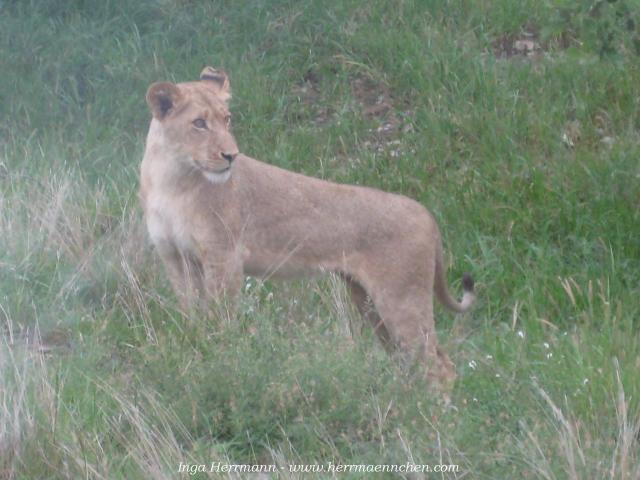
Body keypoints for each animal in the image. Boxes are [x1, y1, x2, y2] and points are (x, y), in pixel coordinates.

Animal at [142, 67, 478, 388]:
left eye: (227, 119)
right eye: (199, 123)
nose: (230, 156)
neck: (172, 180)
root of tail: (426, 214)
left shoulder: (224, 257)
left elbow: (220, 316)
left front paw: (219, 353)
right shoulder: (175, 257)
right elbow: (191, 312)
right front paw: (196, 344)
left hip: (401, 299)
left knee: (439, 366)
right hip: (369, 303)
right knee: (414, 359)